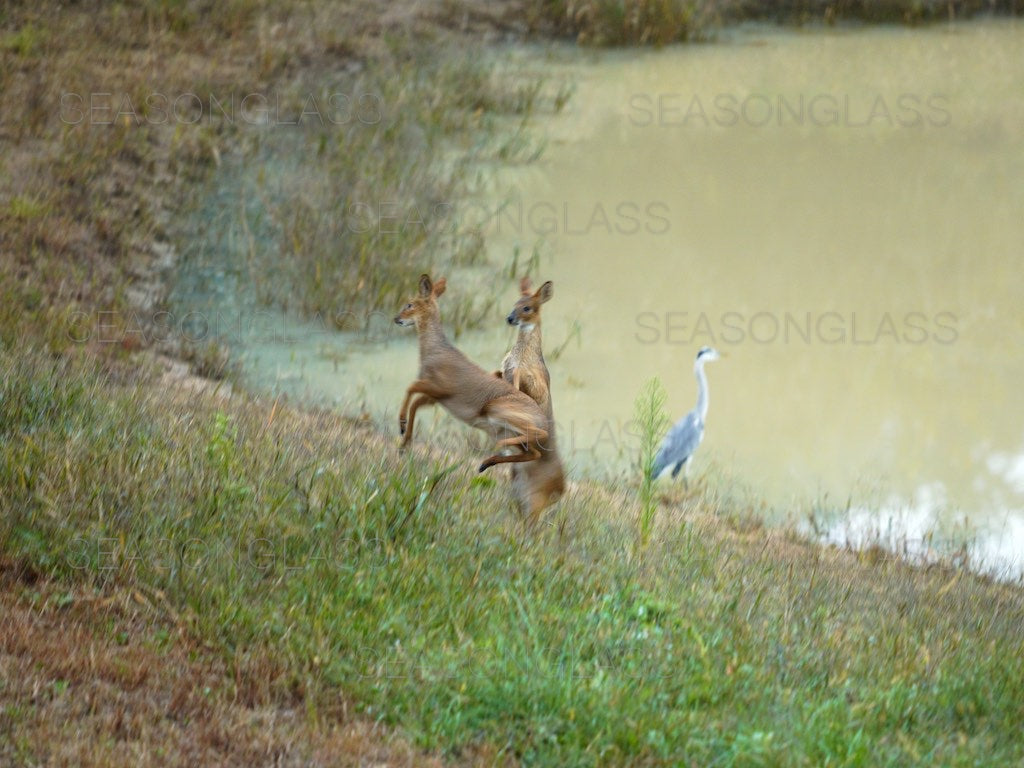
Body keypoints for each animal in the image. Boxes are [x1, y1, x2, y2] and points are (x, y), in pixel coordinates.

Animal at [393, 274, 552, 473]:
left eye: (410, 304)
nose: (396, 318)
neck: (433, 351)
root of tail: (542, 417)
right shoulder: (436, 396)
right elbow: (415, 402)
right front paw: (404, 443)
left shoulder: (440, 387)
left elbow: (411, 388)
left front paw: (401, 424)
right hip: (502, 428)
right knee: (533, 453)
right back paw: (485, 464)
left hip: (497, 410)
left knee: (539, 436)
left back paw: (497, 451)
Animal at [497, 276, 565, 524]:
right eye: (515, 303)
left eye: (527, 308)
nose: (510, 318)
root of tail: (560, 490)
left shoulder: (537, 384)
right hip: (517, 487)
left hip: (533, 498)